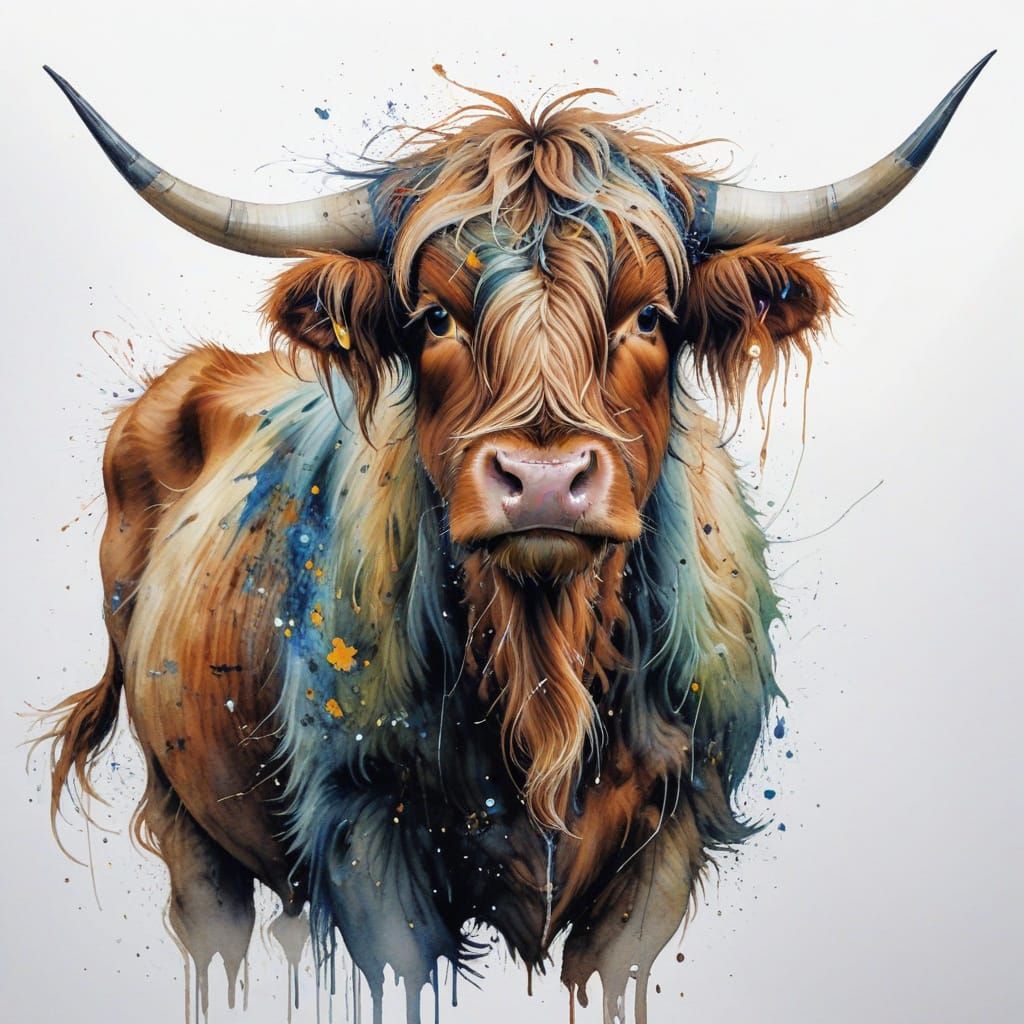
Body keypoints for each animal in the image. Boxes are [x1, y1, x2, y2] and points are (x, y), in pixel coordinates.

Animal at [40, 55, 991, 1024]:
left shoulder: (670, 837)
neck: (544, 679)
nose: (542, 480)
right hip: (183, 809)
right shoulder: (360, 828)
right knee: (212, 932)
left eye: (651, 317)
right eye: (434, 319)